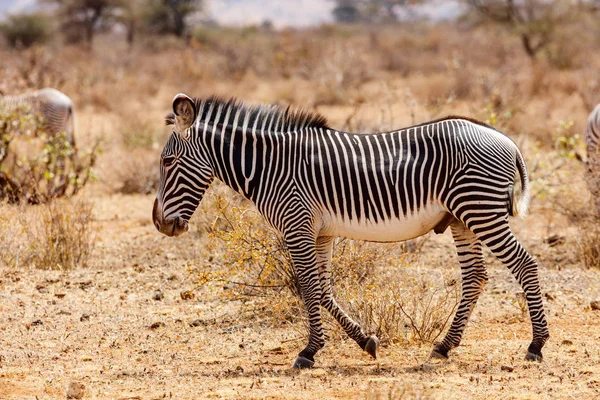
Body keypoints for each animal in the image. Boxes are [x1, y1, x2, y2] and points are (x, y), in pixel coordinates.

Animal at [154, 94, 548, 368]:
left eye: (167, 161)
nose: (160, 223)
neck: (270, 167)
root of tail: (505, 139)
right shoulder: (320, 232)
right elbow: (322, 289)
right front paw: (364, 340)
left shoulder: (297, 226)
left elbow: (307, 287)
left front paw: (309, 351)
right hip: (462, 218)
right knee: (476, 276)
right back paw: (444, 346)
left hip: (481, 210)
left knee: (524, 265)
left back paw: (536, 346)